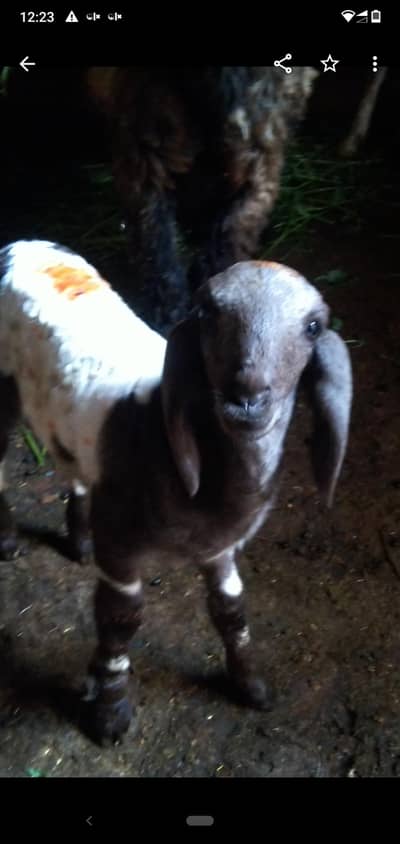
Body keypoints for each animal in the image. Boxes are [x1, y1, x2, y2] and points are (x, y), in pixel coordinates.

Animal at [0, 240, 352, 742]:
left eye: (313, 326)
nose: (246, 397)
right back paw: (8, 539)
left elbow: (231, 611)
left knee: (75, 471)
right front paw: (110, 714)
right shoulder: (121, 552)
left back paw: (80, 540)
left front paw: (250, 686)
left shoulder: (220, 549)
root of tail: (21, 245)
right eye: (206, 312)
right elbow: (120, 620)